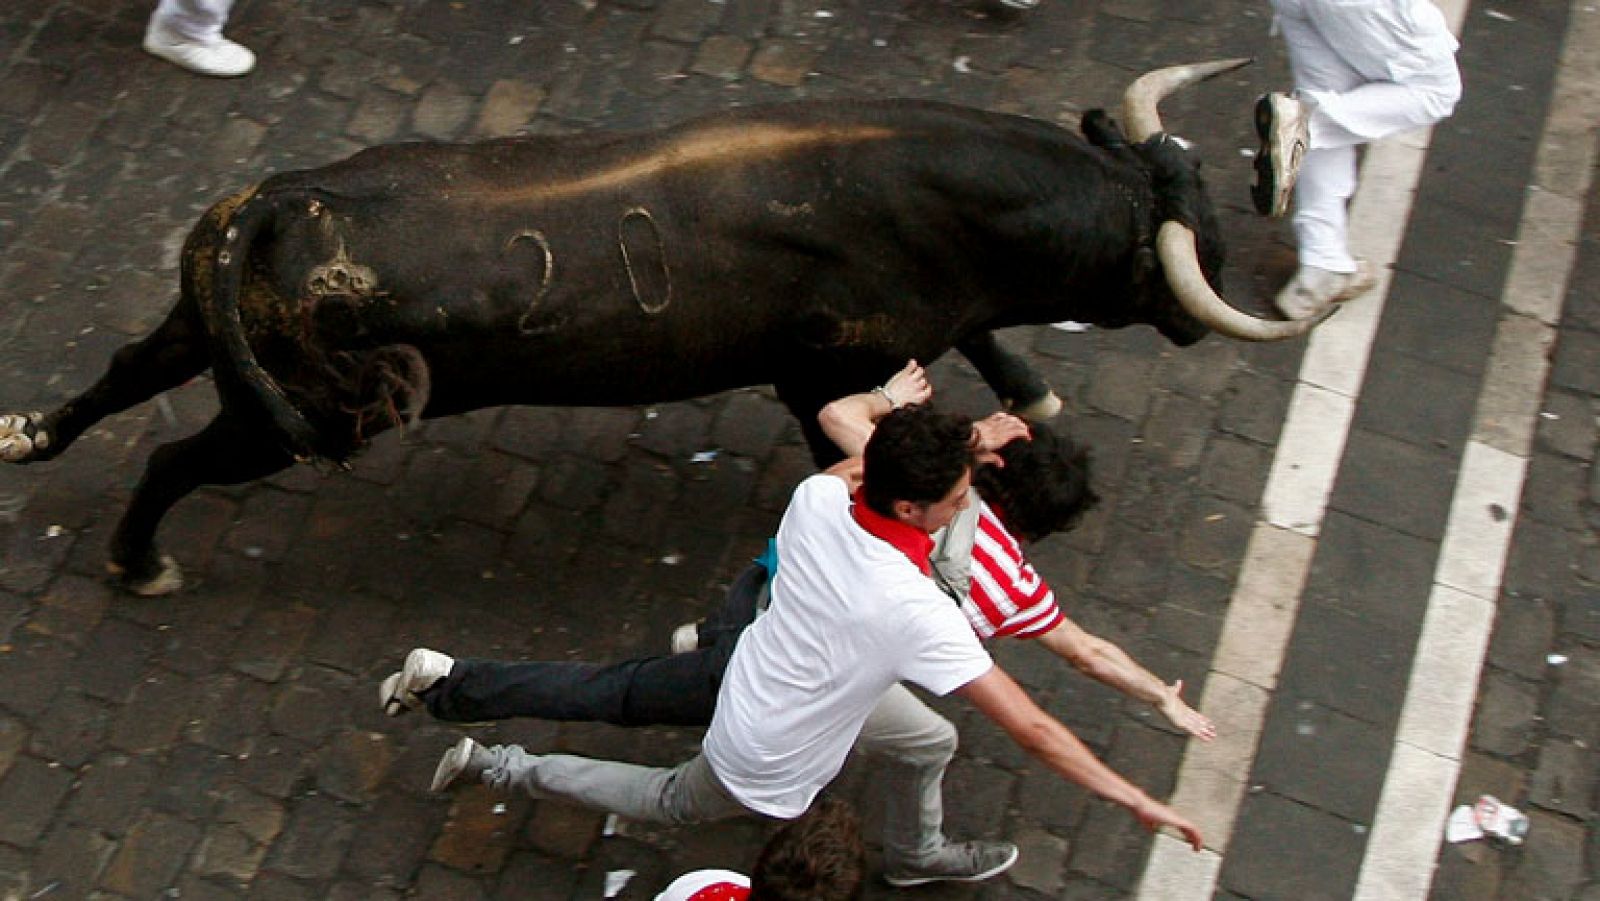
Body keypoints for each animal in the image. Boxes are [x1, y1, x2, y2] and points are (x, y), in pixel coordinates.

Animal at [0, 58, 1318, 592]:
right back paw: (138, 562)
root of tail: (274, 203)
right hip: (292, 419)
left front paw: (1030, 387)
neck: (933, 194)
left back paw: (27, 436)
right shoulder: (820, 373)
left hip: (211, 341)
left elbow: (984, 339)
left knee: (125, 371)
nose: (1197, 314)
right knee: (171, 457)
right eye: (1175, 245)